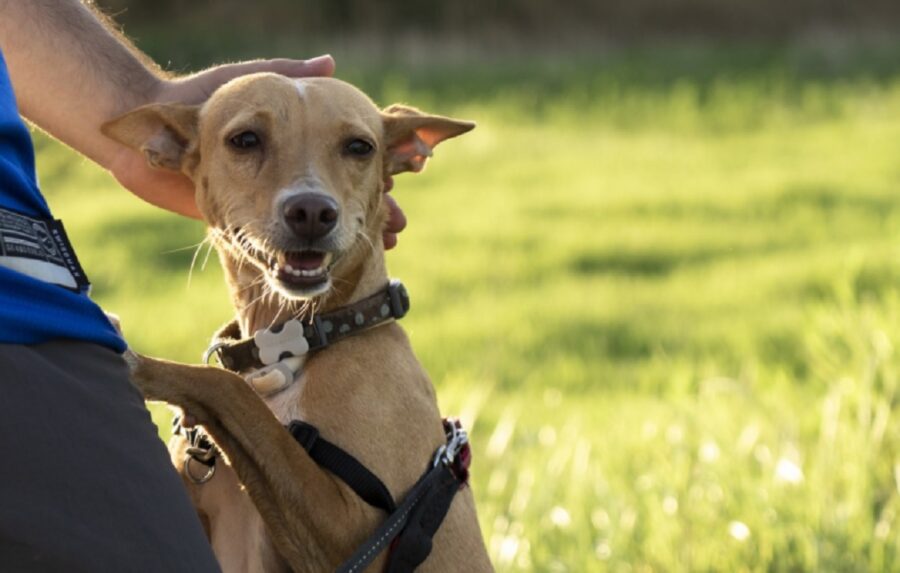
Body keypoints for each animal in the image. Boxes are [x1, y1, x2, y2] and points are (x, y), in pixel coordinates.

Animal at [105, 73, 492, 568]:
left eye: (360, 147)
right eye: (245, 139)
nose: (312, 211)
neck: (289, 346)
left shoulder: (358, 532)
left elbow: (232, 392)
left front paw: (144, 364)